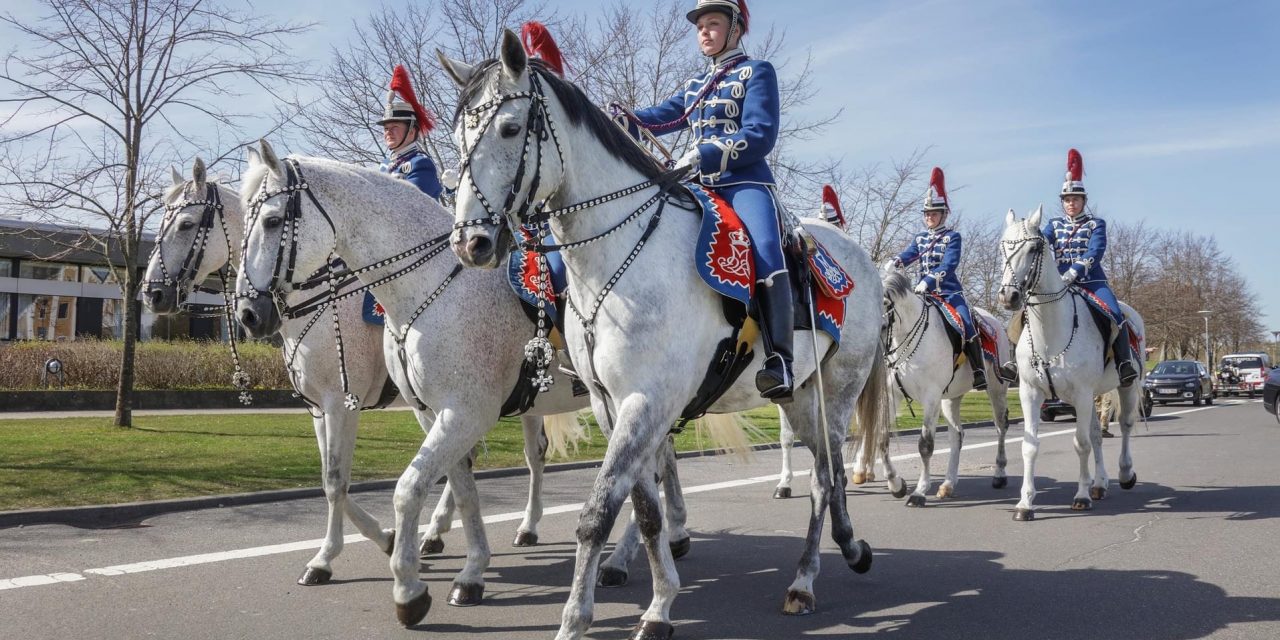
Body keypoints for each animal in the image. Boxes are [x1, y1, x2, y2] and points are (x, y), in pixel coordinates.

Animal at [141, 157, 560, 586]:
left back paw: (522, 526)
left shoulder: (344, 404)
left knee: (531, 455)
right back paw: (441, 533)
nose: (152, 293)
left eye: (186, 224)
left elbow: (335, 482)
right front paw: (386, 539)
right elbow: (331, 478)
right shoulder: (319, 409)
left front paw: (329, 557)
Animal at [230, 142, 691, 622]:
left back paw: (625, 557)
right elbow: (453, 487)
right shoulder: (411, 411)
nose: (247, 313)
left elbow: (376, 484)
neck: (433, 284)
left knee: (650, 473)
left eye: (272, 220)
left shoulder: (397, 407)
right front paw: (462, 568)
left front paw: (386, 575)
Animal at [440, 33, 890, 640]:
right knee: (831, 475)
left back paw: (804, 581)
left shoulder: (646, 400)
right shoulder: (612, 404)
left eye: (510, 129)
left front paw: (575, 619)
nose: (472, 243)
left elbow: (598, 513)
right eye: (457, 137)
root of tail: (857, 257)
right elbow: (645, 509)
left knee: (824, 478)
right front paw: (658, 605)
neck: (617, 257)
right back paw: (850, 546)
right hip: (798, 397)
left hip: (835, 392)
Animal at [880, 267, 1008, 501]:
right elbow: (882, 437)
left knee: (1000, 427)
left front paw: (920, 491)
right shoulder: (894, 394)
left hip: (996, 390)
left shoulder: (931, 397)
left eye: (883, 304)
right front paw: (896, 484)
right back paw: (948, 484)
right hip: (950, 398)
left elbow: (925, 445)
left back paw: (999, 474)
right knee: (957, 435)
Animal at [993, 207, 1146, 522]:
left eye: (1034, 248)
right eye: (1004, 247)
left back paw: (1124, 475)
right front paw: (1025, 504)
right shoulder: (1030, 393)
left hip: (1126, 386)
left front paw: (1081, 496)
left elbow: (1080, 443)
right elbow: (1030, 446)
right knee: (1097, 434)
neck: (1050, 331)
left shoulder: (1082, 394)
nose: (1008, 295)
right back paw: (1100, 484)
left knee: (1124, 426)